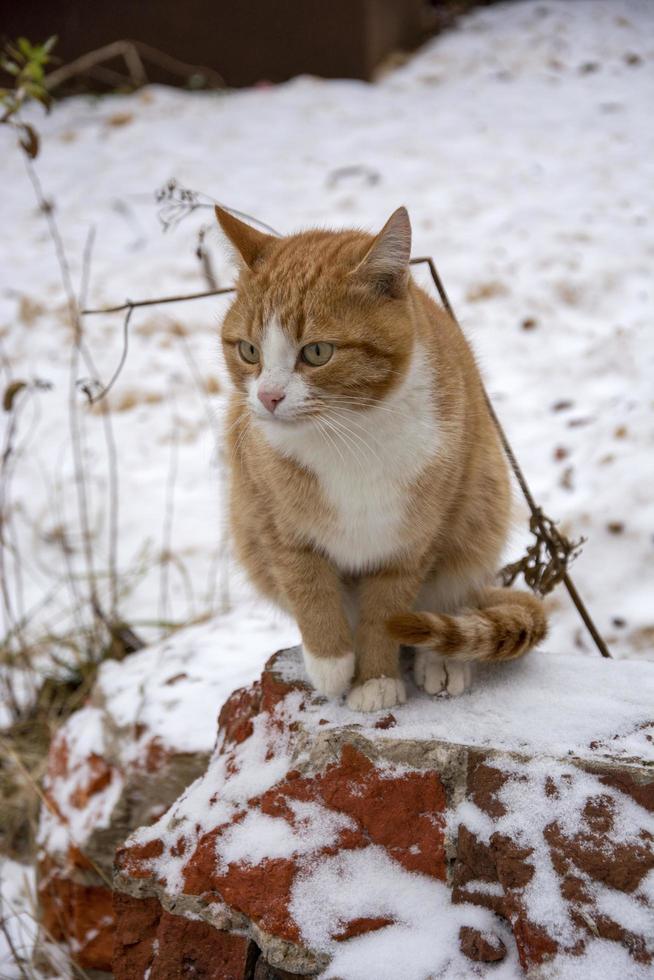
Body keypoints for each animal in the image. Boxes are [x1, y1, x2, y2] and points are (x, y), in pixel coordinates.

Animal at [217, 207, 548, 712]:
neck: (348, 435)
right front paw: (332, 664)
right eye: (248, 351)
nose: (269, 397)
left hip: (480, 511)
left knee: (451, 600)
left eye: (317, 352)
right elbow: (309, 589)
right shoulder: (274, 525)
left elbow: (386, 613)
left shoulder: (409, 544)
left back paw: (442, 661)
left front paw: (374, 678)